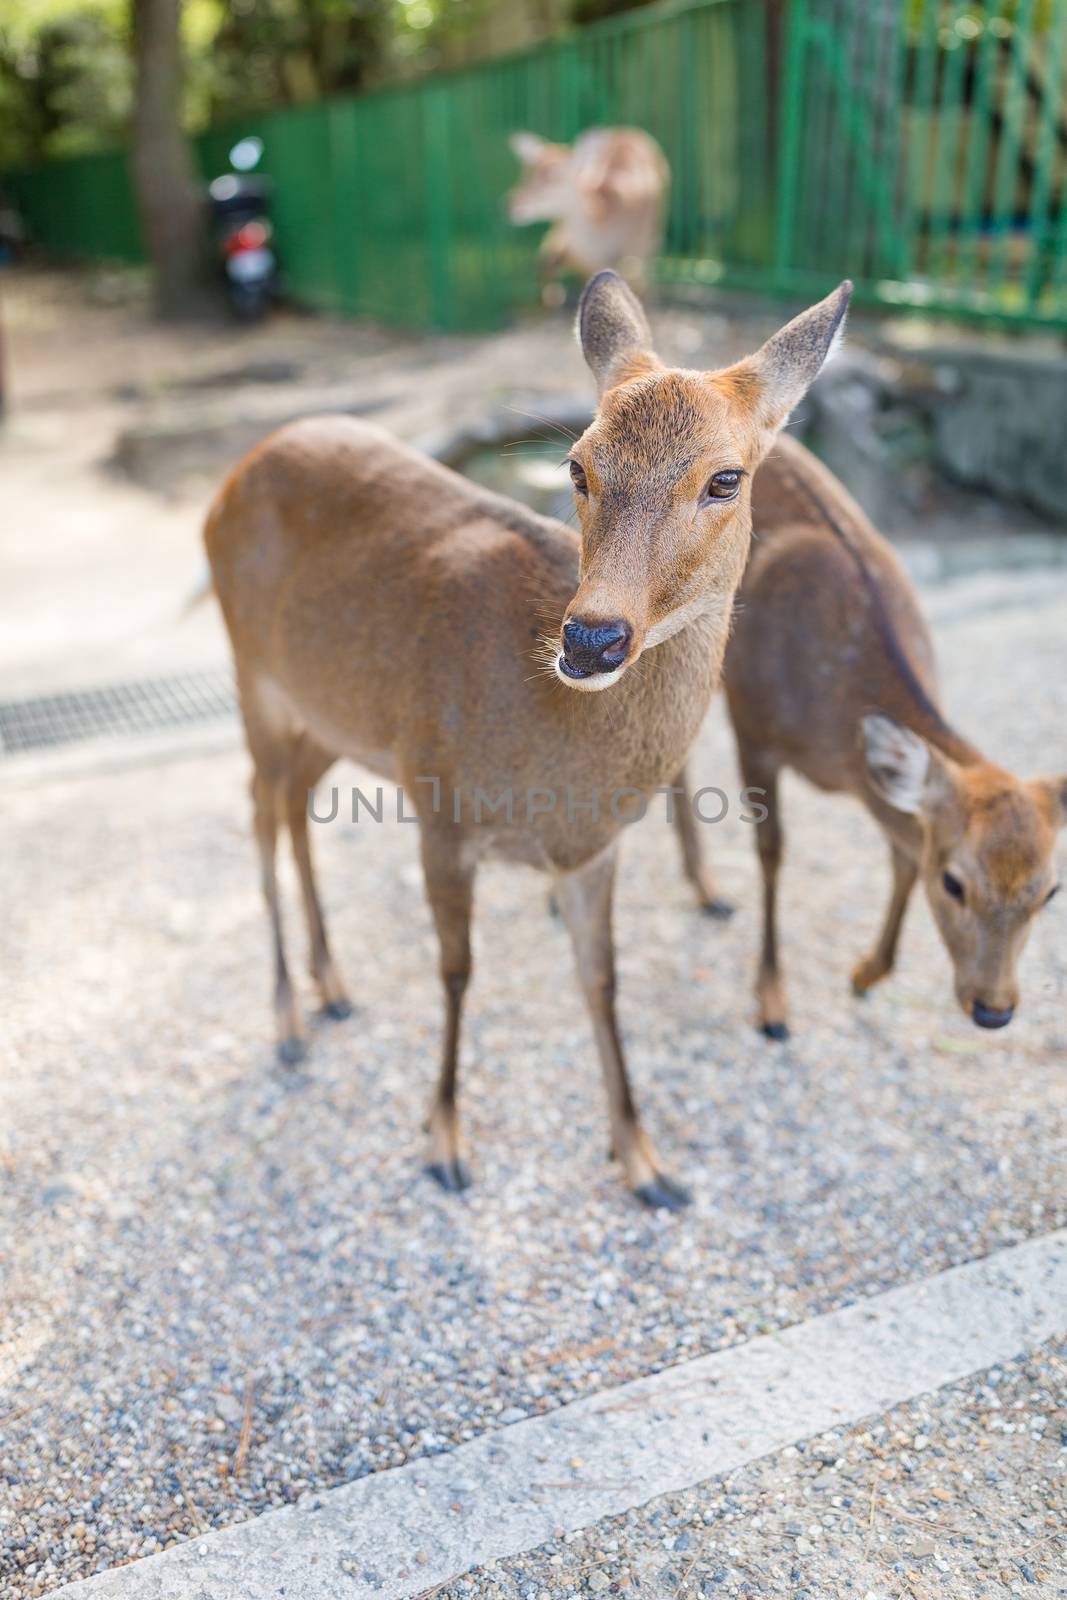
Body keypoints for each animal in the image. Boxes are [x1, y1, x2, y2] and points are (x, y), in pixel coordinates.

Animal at [202, 272, 851, 1203]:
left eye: (726, 478)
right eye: (576, 465)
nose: (591, 639)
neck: (552, 763)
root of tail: (233, 477)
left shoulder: (590, 850)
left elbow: (601, 978)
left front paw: (645, 1162)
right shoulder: (437, 805)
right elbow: (456, 969)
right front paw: (443, 1143)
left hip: (330, 712)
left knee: (290, 804)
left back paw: (333, 988)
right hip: (249, 669)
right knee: (257, 809)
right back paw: (289, 1020)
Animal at [671, 435, 1062, 1036]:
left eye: (1050, 891)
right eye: (953, 882)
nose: (994, 1010)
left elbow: (901, 855)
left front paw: (865, 974)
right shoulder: (753, 727)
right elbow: (771, 851)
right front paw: (772, 1002)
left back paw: (707, 890)